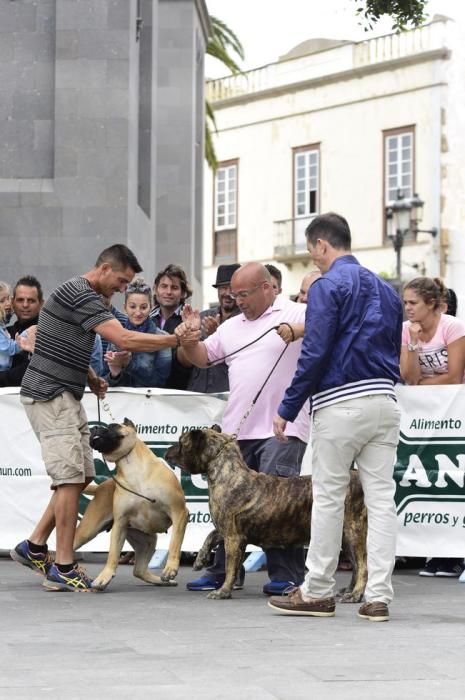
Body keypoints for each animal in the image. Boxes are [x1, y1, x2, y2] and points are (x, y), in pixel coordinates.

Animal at [73, 422, 188, 592]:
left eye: (113, 426)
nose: (94, 428)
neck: (132, 469)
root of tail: (100, 487)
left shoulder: (179, 512)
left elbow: (175, 542)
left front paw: (170, 568)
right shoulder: (120, 524)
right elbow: (113, 554)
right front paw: (104, 577)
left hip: (147, 541)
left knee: (139, 570)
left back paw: (162, 581)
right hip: (87, 531)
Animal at [165, 426, 368, 600]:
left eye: (182, 442)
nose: (168, 449)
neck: (227, 474)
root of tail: (358, 478)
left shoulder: (233, 537)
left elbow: (230, 568)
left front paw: (223, 591)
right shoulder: (227, 530)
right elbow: (210, 536)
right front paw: (200, 559)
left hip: (353, 531)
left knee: (363, 566)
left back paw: (356, 595)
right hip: (344, 537)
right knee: (356, 565)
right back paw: (348, 590)